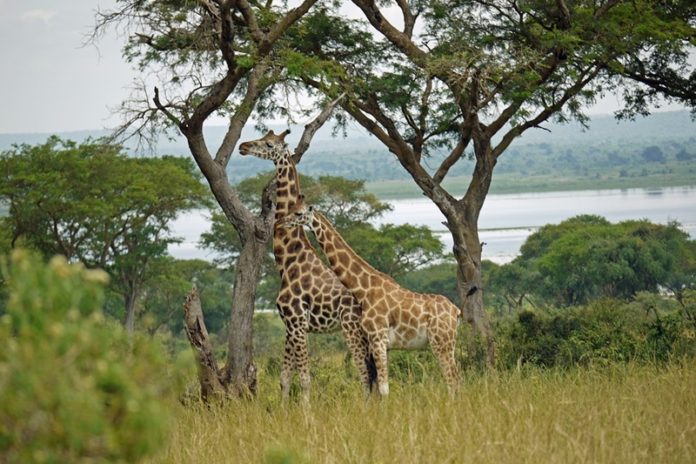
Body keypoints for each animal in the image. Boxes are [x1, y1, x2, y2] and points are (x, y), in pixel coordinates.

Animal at [238, 129, 376, 400]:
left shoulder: (298, 321)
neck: (289, 258)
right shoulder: (290, 325)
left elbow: (304, 378)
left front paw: (306, 410)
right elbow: (284, 378)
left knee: (366, 374)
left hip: (353, 329)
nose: (243, 146)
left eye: (269, 144)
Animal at [282, 198, 462, 396]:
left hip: (441, 342)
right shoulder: (382, 343)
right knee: (455, 379)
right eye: (291, 208)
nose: (282, 221)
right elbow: (377, 386)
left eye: (299, 213)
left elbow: (382, 388)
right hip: (448, 343)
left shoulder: (378, 338)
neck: (364, 289)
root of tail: (456, 311)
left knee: (453, 379)